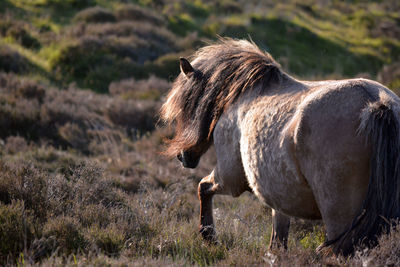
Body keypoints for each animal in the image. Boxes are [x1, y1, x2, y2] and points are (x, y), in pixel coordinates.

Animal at [159, 38, 400, 255]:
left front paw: (209, 236)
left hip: (338, 217)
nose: (183, 157)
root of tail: (376, 102)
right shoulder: (280, 196)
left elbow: (203, 187)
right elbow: (278, 238)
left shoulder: (231, 178)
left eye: (186, 104)